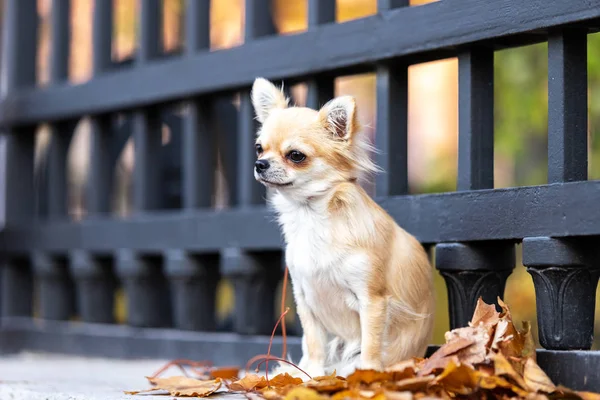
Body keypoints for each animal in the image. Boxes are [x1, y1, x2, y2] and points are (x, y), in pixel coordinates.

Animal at [251, 76, 434, 376]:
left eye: (296, 155)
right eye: (259, 148)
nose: (259, 164)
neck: (311, 217)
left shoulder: (372, 299)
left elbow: (371, 345)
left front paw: (368, 376)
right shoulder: (305, 298)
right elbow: (314, 343)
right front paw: (312, 376)